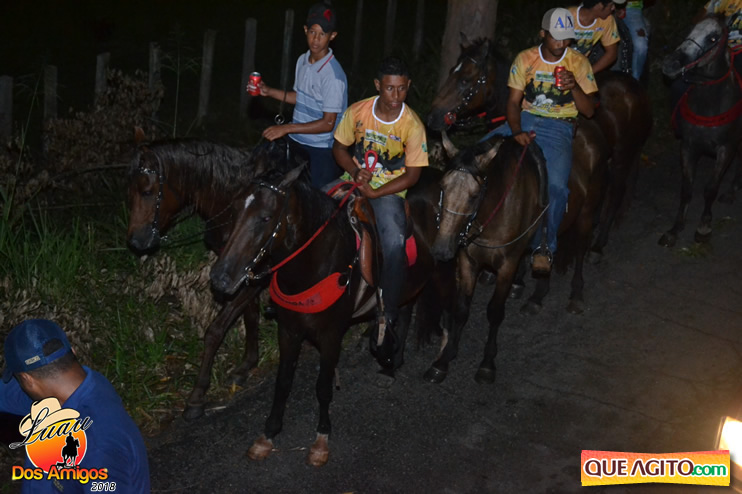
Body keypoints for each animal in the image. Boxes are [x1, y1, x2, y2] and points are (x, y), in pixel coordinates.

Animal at [126, 135, 301, 420]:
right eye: (130, 192)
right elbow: (250, 316)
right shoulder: (240, 273)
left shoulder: (257, 275)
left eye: (148, 192)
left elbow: (216, 329)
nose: (135, 241)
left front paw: (197, 395)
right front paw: (247, 363)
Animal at [209, 165, 452, 466]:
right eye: (233, 211)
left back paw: (440, 363)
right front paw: (269, 434)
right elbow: (283, 383)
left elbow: (323, 387)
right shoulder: (288, 330)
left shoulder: (331, 335)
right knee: (404, 310)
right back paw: (391, 363)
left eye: (265, 217)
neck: (315, 264)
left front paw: (321, 439)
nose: (220, 278)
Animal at [427, 118, 607, 383]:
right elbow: (461, 309)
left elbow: (495, 311)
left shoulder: (507, 265)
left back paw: (576, 295)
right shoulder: (468, 260)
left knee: (581, 249)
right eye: (442, 186)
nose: (441, 249)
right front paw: (443, 360)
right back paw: (537, 296)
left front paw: (487, 364)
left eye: (474, 195)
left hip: (585, 214)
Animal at [428, 37, 652, 263]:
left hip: (622, 156)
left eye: (465, 80)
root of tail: (635, 86)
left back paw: (598, 244)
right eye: (451, 72)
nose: (433, 116)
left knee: (615, 192)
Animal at [660, 14, 742, 247]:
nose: (670, 63)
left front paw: (704, 227)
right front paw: (675, 229)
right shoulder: (688, 147)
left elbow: (710, 189)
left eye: (713, 38)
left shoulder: (725, 149)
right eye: (690, 31)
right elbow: (687, 189)